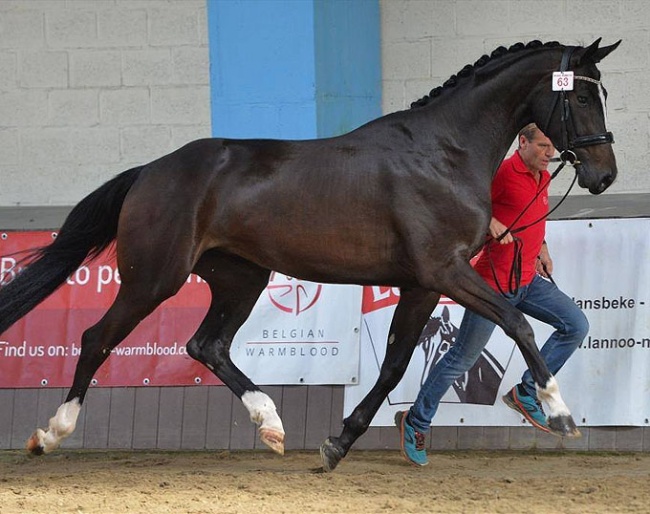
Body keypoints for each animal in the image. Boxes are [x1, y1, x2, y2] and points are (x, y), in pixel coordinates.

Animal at [0, 40, 616, 470]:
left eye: (600, 94)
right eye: (582, 96)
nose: (604, 174)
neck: (443, 152)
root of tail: (150, 171)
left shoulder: (422, 283)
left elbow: (394, 366)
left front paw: (337, 444)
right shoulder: (445, 271)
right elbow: (518, 321)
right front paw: (560, 414)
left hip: (241, 278)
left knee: (206, 345)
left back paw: (271, 425)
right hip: (153, 279)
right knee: (96, 339)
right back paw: (50, 434)